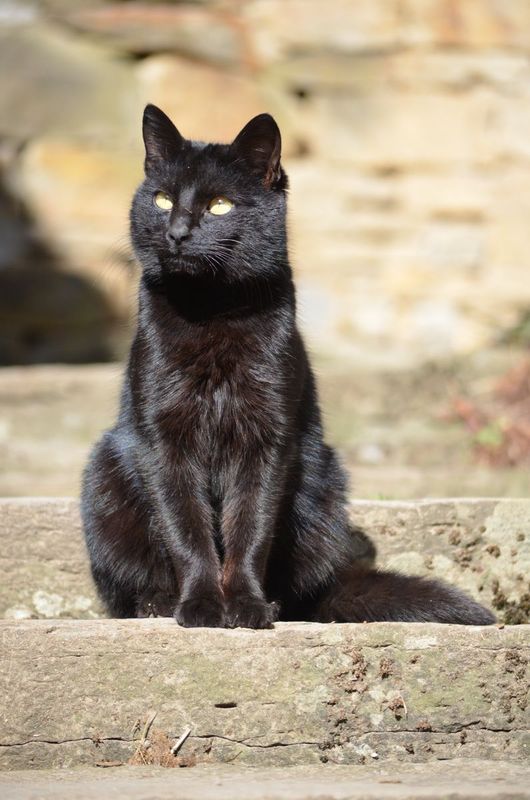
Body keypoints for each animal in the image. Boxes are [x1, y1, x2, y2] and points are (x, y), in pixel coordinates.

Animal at [81, 105, 495, 628]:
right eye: (161, 199)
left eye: (219, 205)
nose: (176, 233)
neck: (211, 311)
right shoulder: (164, 440)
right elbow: (186, 529)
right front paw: (200, 606)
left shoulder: (268, 438)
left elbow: (250, 528)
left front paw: (246, 605)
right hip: (104, 474)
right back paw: (157, 603)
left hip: (324, 484)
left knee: (304, 592)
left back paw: (276, 603)